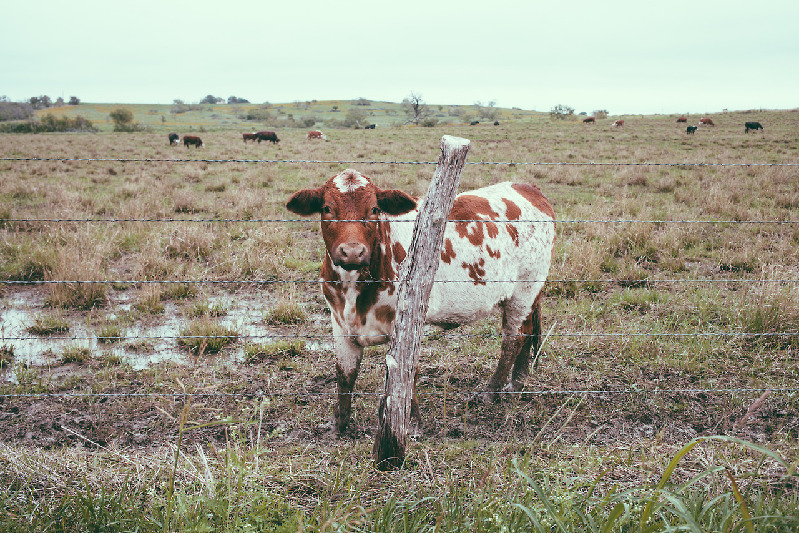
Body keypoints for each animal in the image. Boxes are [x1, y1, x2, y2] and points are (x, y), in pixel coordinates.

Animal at [286, 170, 556, 432]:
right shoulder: (339, 322)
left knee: (514, 339)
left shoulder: (408, 320)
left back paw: (491, 392)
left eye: (374, 209)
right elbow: (345, 374)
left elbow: (406, 372)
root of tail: (528, 189)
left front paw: (412, 424)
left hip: (525, 289)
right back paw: (516, 385)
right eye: (326, 208)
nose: (353, 252)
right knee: (527, 332)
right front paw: (338, 424)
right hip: (526, 296)